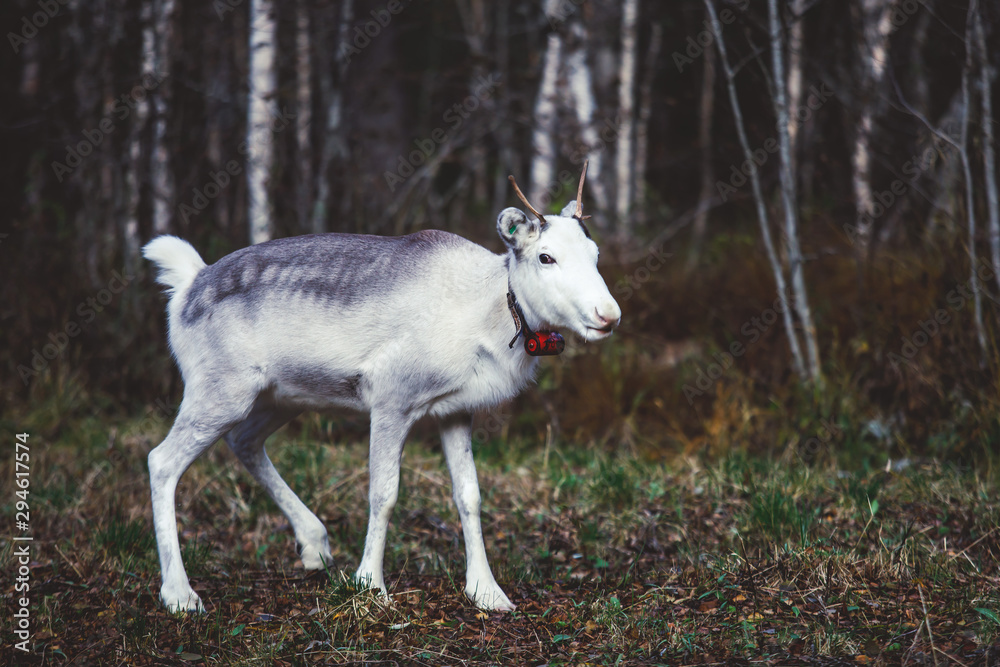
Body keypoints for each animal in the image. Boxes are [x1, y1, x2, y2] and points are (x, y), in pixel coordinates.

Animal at [143, 165, 620, 613]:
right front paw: (371, 584)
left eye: (596, 253)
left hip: (280, 397)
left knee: (244, 442)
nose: (609, 315)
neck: (491, 312)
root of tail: (187, 286)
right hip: (221, 391)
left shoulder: (455, 411)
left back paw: (315, 544)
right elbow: (384, 494)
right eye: (545, 257)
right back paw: (180, 594)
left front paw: (487, 591)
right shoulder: (393, 401)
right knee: (162, 461)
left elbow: (469, 496)